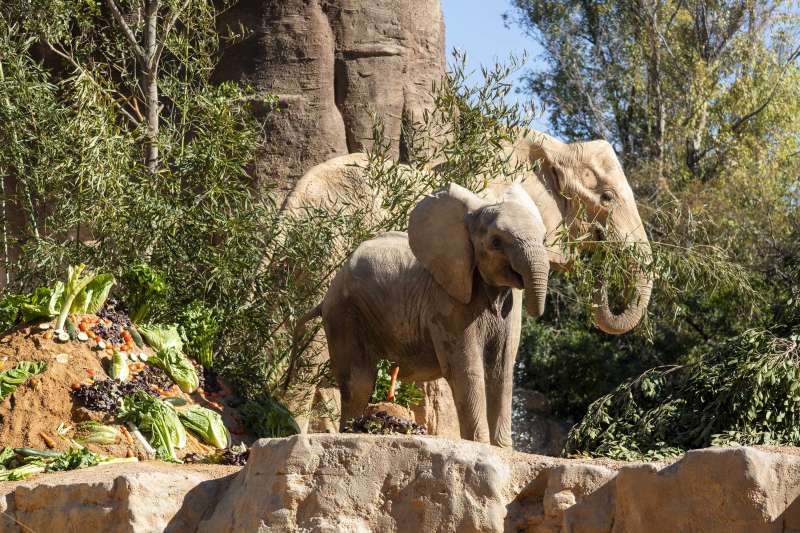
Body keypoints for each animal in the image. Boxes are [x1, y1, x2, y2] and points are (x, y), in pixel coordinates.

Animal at [290, 182, 550, 447]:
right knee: (359, 380)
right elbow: (467, 369)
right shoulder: (447, 300)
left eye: (544, 239)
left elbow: (501, 370)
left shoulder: (510, 306)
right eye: (496, 242)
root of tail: (325, 297)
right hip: (344, 313)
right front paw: (480, 444)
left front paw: (502, 448)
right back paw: (351, 432)